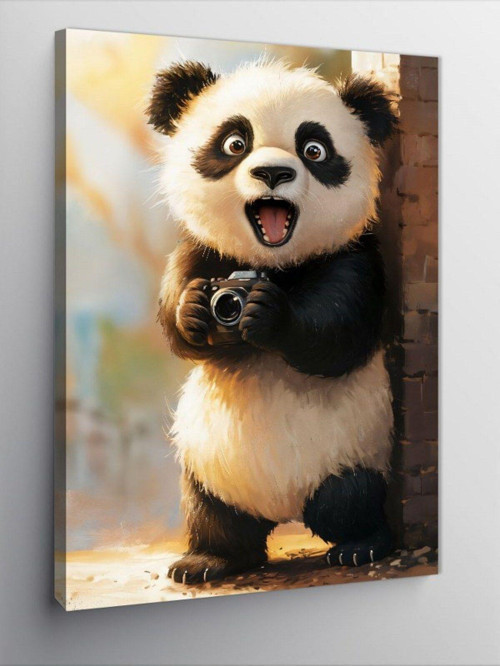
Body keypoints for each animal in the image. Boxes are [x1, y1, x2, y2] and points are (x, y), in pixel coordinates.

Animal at [147, 59, 398, 584]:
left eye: (314, 149)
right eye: (234, 143)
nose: (273, 173)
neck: (272, 264)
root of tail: (281, 511)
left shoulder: (354, 256)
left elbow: (338, 334)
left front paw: (269, 315)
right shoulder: (200, 250)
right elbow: (175, 317)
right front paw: (192, 308)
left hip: (354, 453)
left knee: (348, 498)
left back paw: (360, 545)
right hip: (208, 464)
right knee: (212, 512)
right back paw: (209, 560)